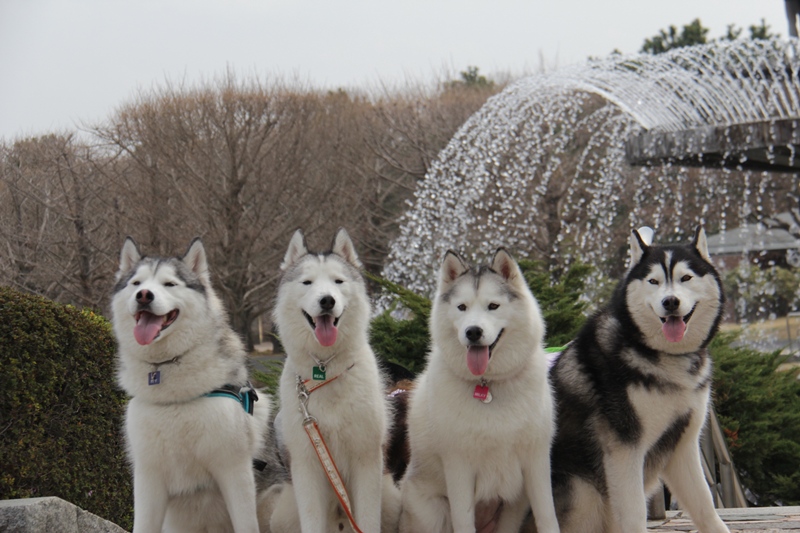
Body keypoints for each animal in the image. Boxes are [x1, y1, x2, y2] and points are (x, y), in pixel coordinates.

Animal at [109, 238, 274, 532]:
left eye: (169, 284)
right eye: (137, 283)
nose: (144, 295)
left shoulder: (235, 470)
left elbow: (245, 523)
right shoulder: (148, 478)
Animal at [268, 228, 398, 532]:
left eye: (339, 281)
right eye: (307, 282)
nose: (327, 300)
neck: (324, 371)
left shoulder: (366, 459)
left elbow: (368, 520)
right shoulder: (307, 465)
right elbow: (312, 520)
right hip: (284, 513)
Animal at [398, 248, 560, 532]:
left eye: (493, 306)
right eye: (461, 307)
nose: (473, 331)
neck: (488, 385)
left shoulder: (537, 462)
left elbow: (547, 516)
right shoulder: (459, 467)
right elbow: (464, 520)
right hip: (433, 513)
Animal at [548, 225, 728, 532]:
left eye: (686, 277)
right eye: (653, 281)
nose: (670, 302)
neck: (663, 356)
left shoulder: (683, 446)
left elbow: (706, 507)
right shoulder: (624, 451)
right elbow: (634, 513)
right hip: (583, 492)